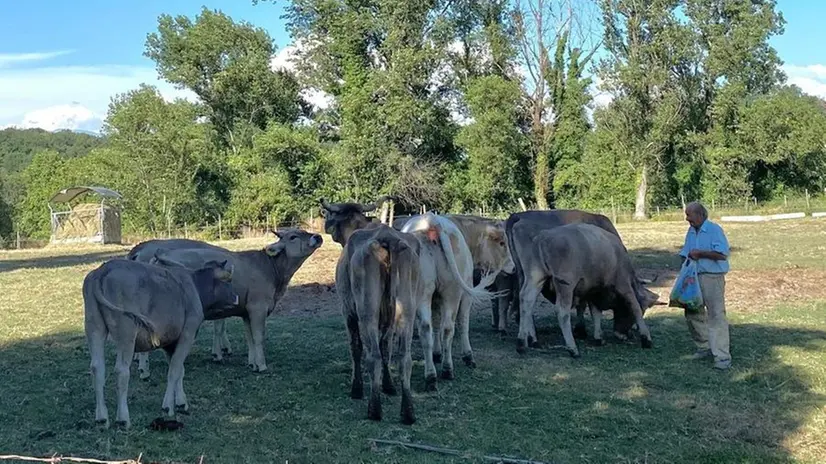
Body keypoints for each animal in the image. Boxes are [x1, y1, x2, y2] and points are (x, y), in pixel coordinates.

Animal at [83, 256, 238, 430]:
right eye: (228, 281)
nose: (236, 297)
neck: (193, 286)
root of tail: (103, 270)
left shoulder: (169, 343)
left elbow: (179, 370)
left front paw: (181, 402)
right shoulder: (187, 335)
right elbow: (174, 371)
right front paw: (168, 406)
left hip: (94, 329)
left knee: (97, 368)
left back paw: (102, 417)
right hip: (126, 334)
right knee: (122, 371)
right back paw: (123, 418)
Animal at [133, 230, 322, 376]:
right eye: (293, 236)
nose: (318, 236)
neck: (269, 267)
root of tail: (156, 257)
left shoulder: (246, 312)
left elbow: (249, 337)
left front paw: (253, 363)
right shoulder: (258, 308)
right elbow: (258, 337)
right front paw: (261, 365)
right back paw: (144, 370)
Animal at [336, 225, 422, 424]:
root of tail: (388, 237)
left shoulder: (348, 311)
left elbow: (356, 347)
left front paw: (357, 388)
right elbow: (386, 348)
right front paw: (389, 385)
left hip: (368, 310)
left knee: (373, 355)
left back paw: (374, 409)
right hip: (407, 308)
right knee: (404, 358)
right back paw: (408, 412)